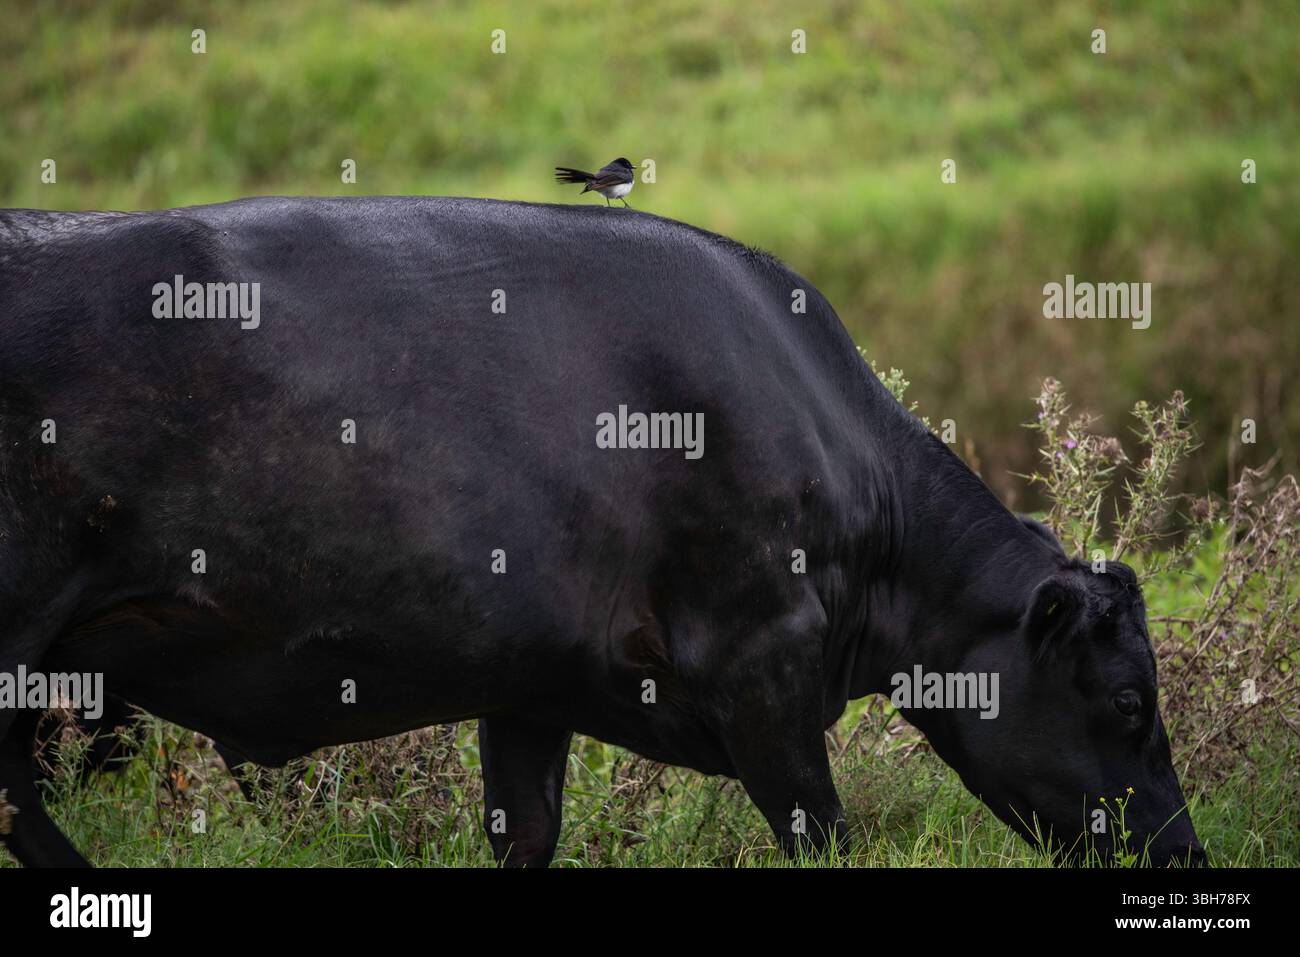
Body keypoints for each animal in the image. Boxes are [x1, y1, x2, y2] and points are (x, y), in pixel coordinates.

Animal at [0, 197, 1203, 867]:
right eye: (1128, 700)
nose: (1186, 852)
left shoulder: (529, 686)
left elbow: (527, 833)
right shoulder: (761, 669)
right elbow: (823, 836)